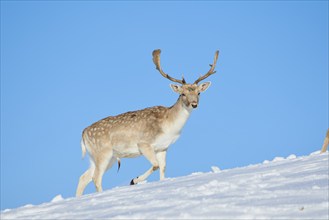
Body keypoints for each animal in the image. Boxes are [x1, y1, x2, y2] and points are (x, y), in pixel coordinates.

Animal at [76, 49, 219, 196]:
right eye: (182, 94)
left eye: (199, 93)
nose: (194, 104)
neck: (169, 126)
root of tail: (83, 133)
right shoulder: (144, 143)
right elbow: (155, 165)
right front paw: (134, 180)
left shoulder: (163, 147)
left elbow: (163, 169)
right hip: (103, 152)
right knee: (96, 177)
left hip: (102, 157)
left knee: (84, 177)